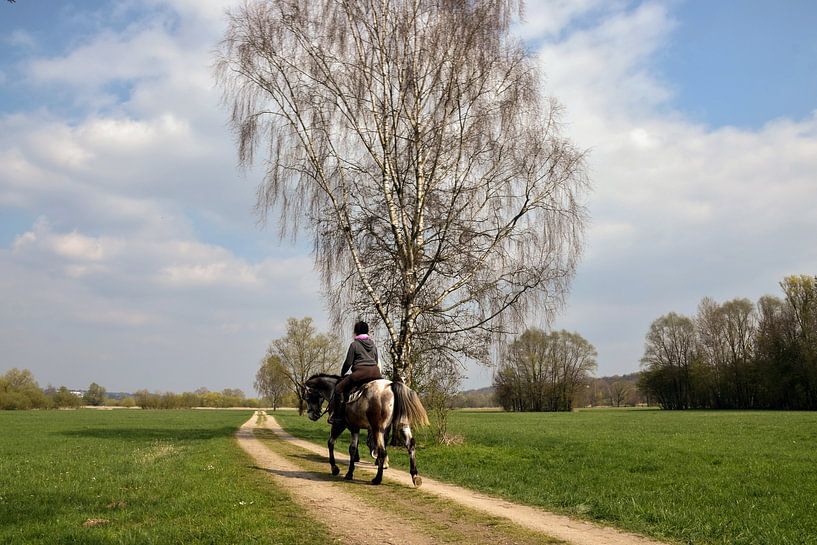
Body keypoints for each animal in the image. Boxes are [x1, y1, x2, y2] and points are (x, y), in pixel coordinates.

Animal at [300, 374, 428, 484]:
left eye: (306, 397)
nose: (312, 415)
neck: (333, 389)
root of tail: (391, 385)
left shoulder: (340, 425)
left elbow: (331, 443)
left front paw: (335, 468)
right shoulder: (355, 428)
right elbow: (352, 448)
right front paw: (350, 472)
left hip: (378, 429)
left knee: (382, 450)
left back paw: (377, 479)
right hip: (402, 426)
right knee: (410, 446)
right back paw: (415, 476)